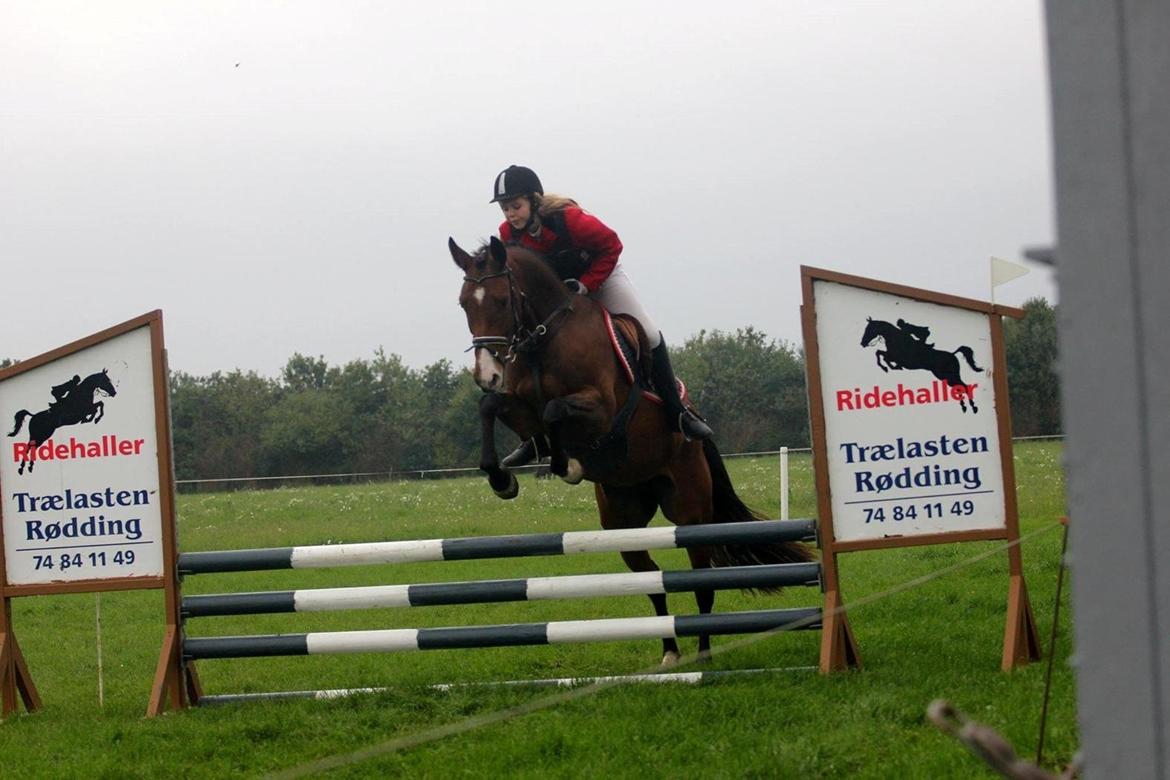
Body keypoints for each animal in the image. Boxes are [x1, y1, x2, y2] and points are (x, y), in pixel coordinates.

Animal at [446, 236, 814, 664]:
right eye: (464, 303)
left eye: (502, 300)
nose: (486, 374)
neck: (544, 338)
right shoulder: (519, 403)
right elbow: (493, 407)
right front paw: (503, 476)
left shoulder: (603, 410)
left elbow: (554, 412)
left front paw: (565, 463)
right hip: (622, 520)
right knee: (651, 580)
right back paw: (670, 652)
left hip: (690, 512)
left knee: (702, 581)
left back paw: (703, 653)